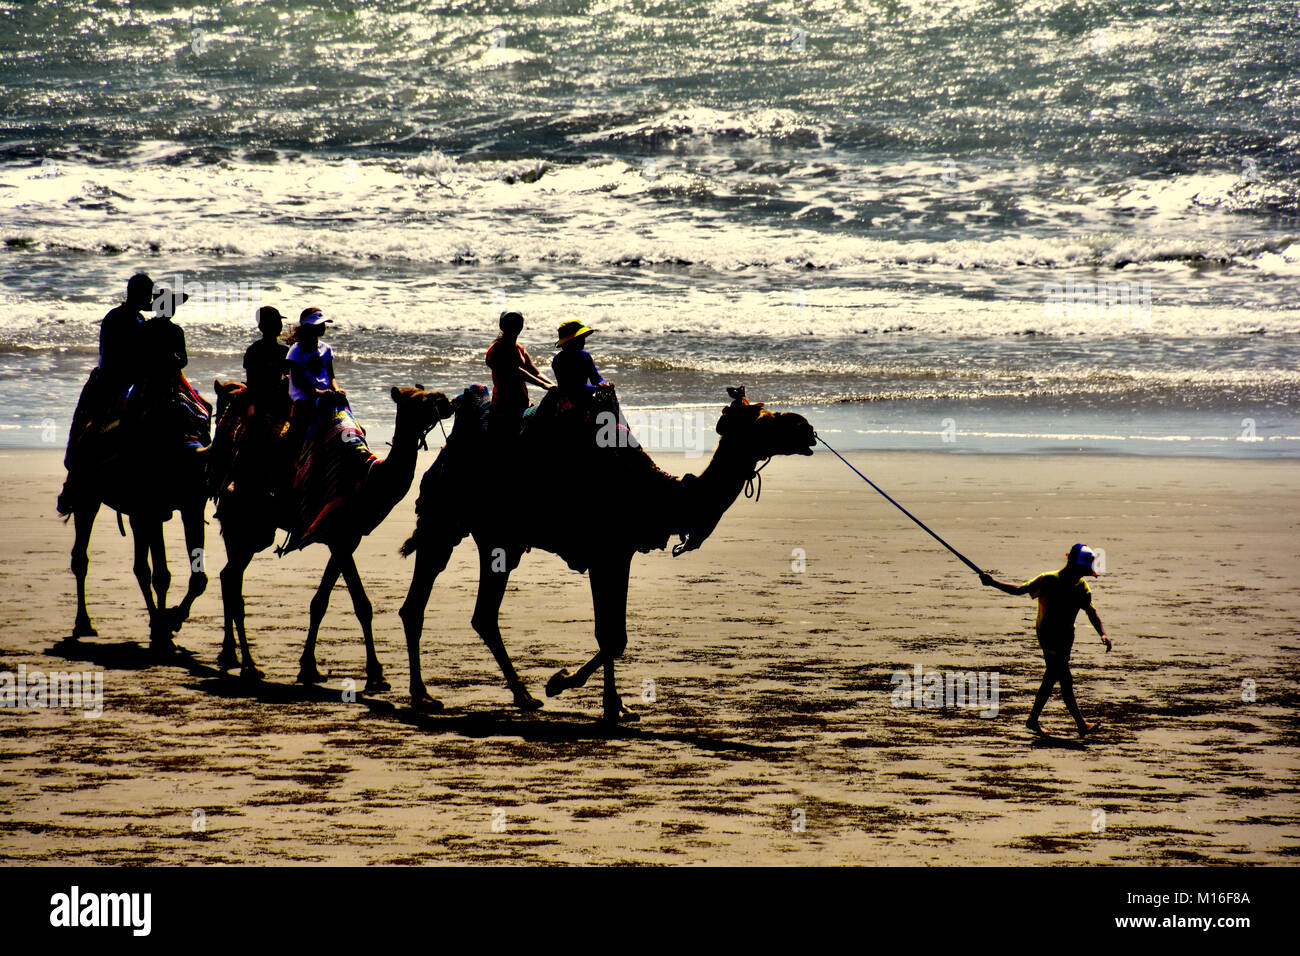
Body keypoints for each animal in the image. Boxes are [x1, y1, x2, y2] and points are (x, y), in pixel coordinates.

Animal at [211, 382, 452, 697]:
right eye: (419, 400)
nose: (447, 400)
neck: (369, 479)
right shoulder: (338, 536)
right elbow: (353, 603)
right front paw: (372, 675)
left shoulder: (347, 538)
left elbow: (333, 603)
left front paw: (316, 668)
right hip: (249, 525)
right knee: (233, 580)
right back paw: (250, 666)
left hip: (245, 529)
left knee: (227, 575)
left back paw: (229, 654)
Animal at [400, 385, 816, 723]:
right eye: (764, 419)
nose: (805, 426)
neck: (659, 497)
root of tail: (444, 456)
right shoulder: (605, 554)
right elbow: (611, 635)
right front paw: (564, 683)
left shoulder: (620, 554)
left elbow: (615, 635)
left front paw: (614, 704)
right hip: (453, 523)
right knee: (440, 606)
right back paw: (435, 695)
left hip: (493, 538)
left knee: (462, 611)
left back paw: (508, 695)